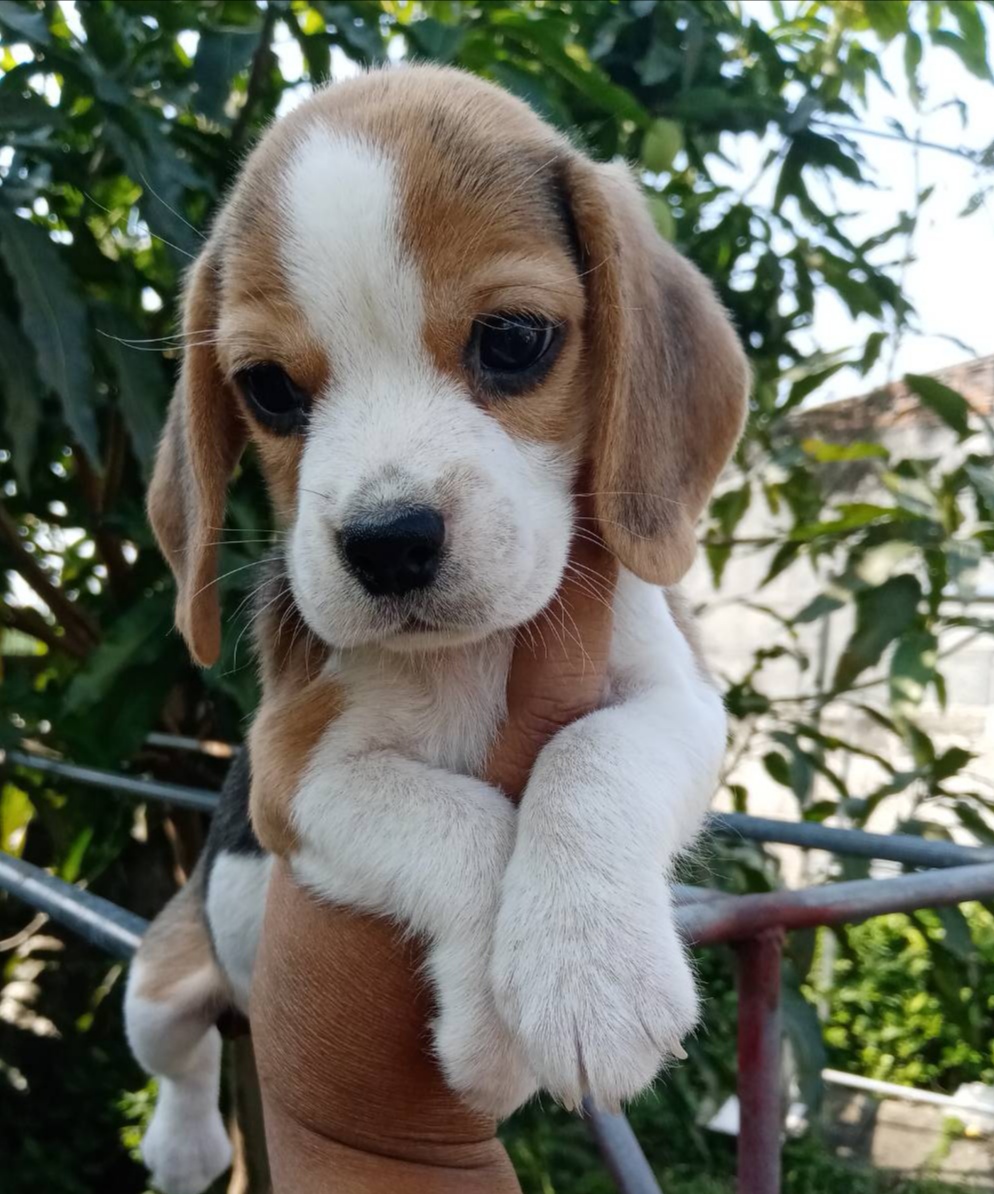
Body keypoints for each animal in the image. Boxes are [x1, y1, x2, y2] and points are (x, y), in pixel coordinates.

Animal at [124, 65, 748, 1194]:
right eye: (267, 388)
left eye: (513, 340)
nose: (387, 542)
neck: (470, 654)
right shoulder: (294, 773)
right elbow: (466, 824)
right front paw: (496, 1038)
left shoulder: (677, 701)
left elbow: (591, 756)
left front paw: (587, 971)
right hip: (158, 984)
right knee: (183, 1064)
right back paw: (184, 1143)